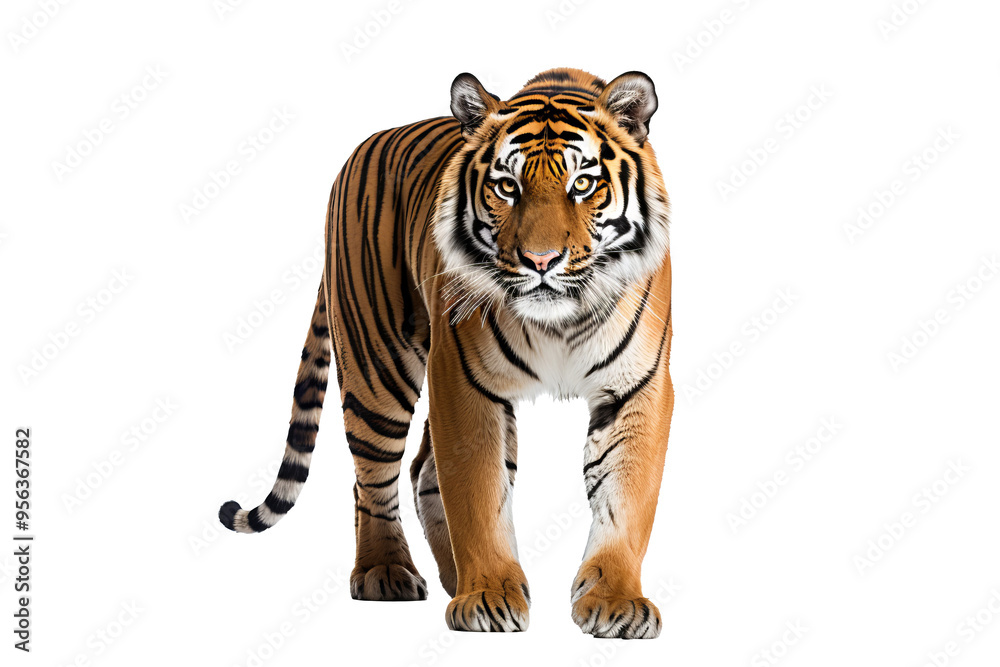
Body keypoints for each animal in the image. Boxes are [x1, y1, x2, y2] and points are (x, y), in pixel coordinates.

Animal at [218, 67, 674, 639]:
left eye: (583, 184)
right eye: (507, 186)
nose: (541, 261)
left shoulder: (639, 386)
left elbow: (627, 497)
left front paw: (616, 603)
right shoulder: (463, 378)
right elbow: (477, 493)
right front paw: (489, 597)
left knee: (421, 473)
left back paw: (455, 577)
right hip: (378, 369)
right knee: (373, 479)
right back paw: (386, 572)